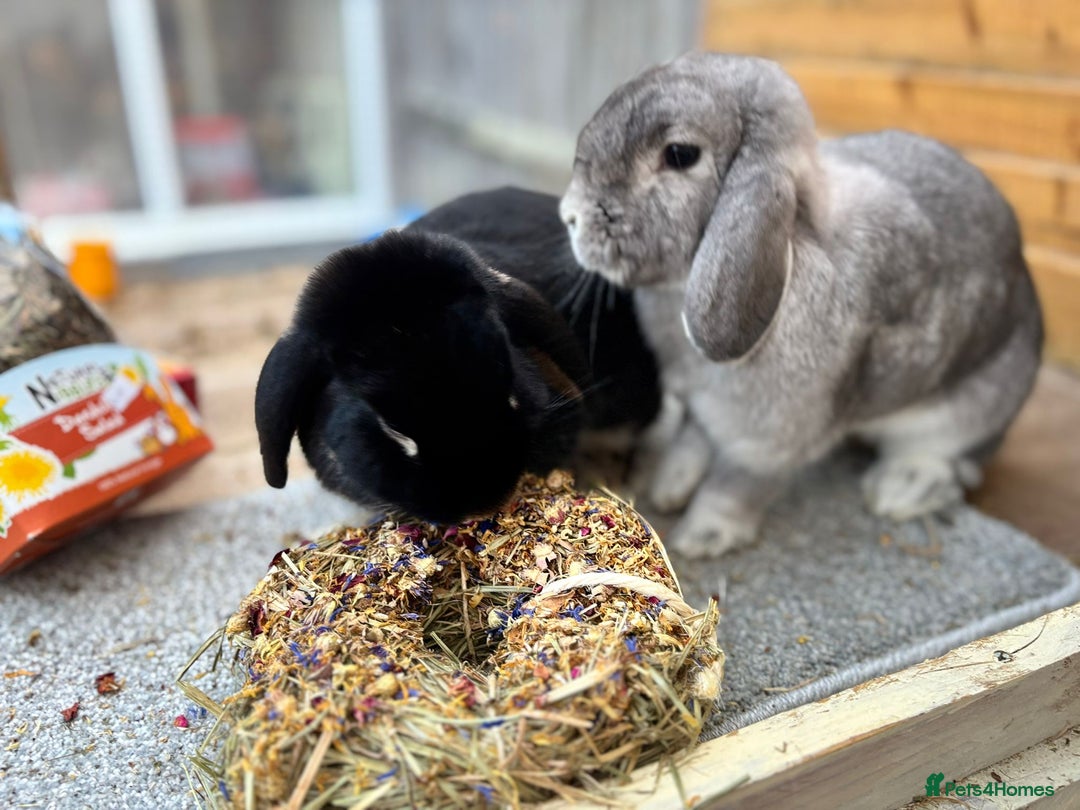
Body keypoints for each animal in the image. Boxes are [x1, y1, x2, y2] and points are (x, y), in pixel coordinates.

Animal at [558, 52, 1043, 558]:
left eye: (679, 155)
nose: (570, 215)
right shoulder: (701, 406)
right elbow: (691, 441)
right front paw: (668, 489)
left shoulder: (767, 443)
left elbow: (735, 486)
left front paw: (702, 537)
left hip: (961, 415)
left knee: (954, 463)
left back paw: (900, 490)